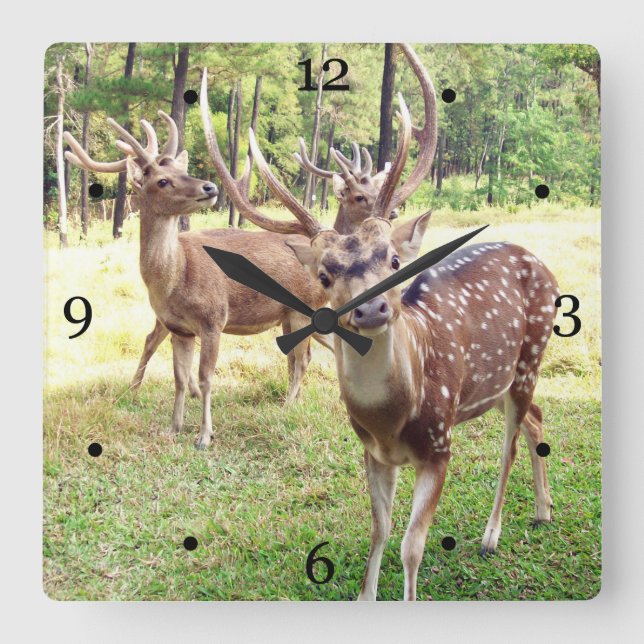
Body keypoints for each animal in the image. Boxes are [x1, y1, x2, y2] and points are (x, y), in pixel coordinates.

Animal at [241, 43, 558, 600]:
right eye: (323, 274)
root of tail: (542, 264)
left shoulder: (441, 444)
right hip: (498, 381)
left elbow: (412, 545)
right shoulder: (371, 452)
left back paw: (492, 535)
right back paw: (542, 512)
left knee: (511, 442)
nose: (371, 309)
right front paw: (365, 596)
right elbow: (380, 529)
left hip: (532, 354)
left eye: (392, 259)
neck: (393, 420)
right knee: (535, 418)